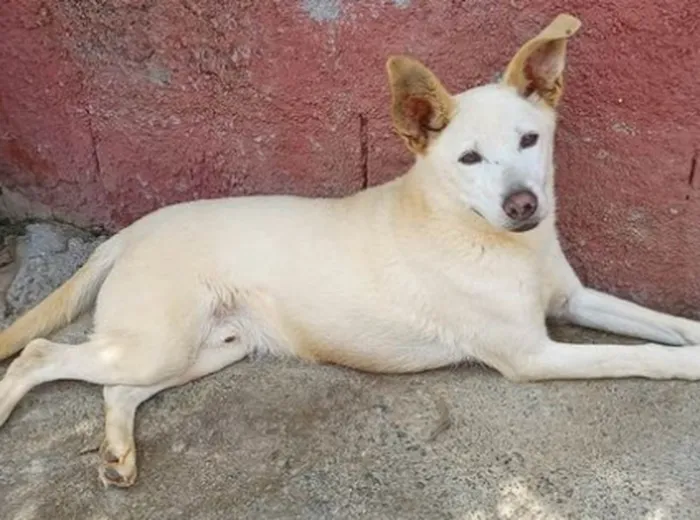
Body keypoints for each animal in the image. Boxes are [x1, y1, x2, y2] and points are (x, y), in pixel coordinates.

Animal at [1, 14, 700, 490]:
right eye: (469, 158)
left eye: (530, 140)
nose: (524, 205)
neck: (484, 235)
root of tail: (136, 228)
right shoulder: (532, 355)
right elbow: (639, 356)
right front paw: (686, 367)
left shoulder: (574, 300)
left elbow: (663, 324)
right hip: (159, 343)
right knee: (38, 355)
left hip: (210, 349)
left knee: (116, 390)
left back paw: (118, 454)